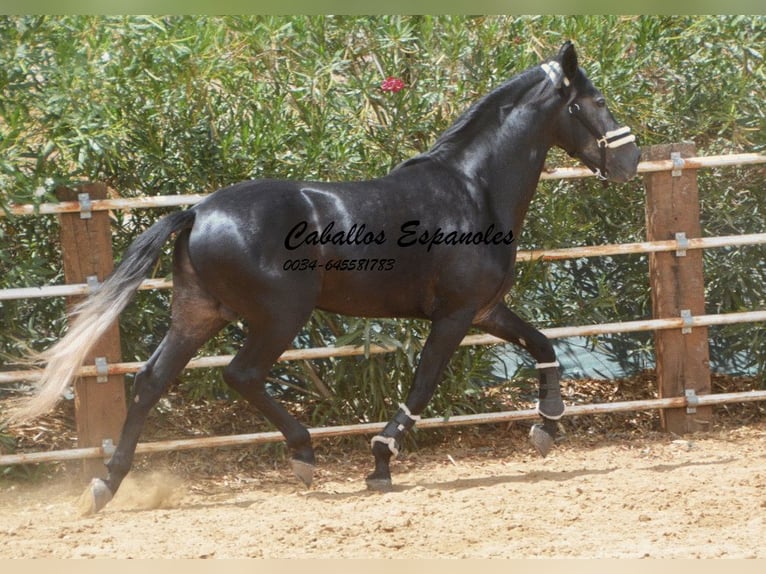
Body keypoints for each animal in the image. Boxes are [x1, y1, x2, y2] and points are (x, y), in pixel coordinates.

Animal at [9, 42, 640, 516]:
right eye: (597, 100)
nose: (629, 162)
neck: (471, 191)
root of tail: (198, 212)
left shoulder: (484, 309)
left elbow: (542, 344)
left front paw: (548, 425)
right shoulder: (455, 315)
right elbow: (423, 385)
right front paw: (381, 461)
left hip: (197, 313)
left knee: (149, 382)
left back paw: (105, 486)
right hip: (280, 315)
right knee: (241, 374)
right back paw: (303, 455)